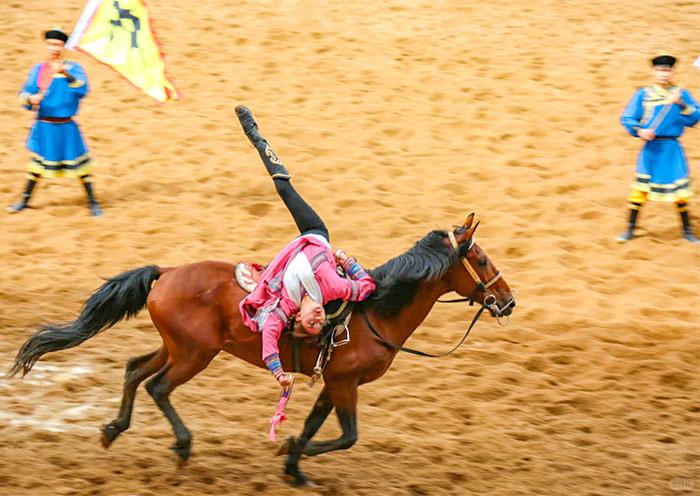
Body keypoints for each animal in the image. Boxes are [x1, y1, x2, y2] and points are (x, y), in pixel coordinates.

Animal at [9, 213, 516, 486]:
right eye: (482, 258)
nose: (508, 300)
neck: (374, 310)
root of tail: (166, 272)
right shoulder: (345, 383)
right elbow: (346, 436)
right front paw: (290, 452)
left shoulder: (333, 382)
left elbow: (316, 426)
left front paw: (294, 467)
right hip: (193, 355)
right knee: (158, 387)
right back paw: (182, 445)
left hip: (176, 347)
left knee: (135, 370)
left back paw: (114, 429)